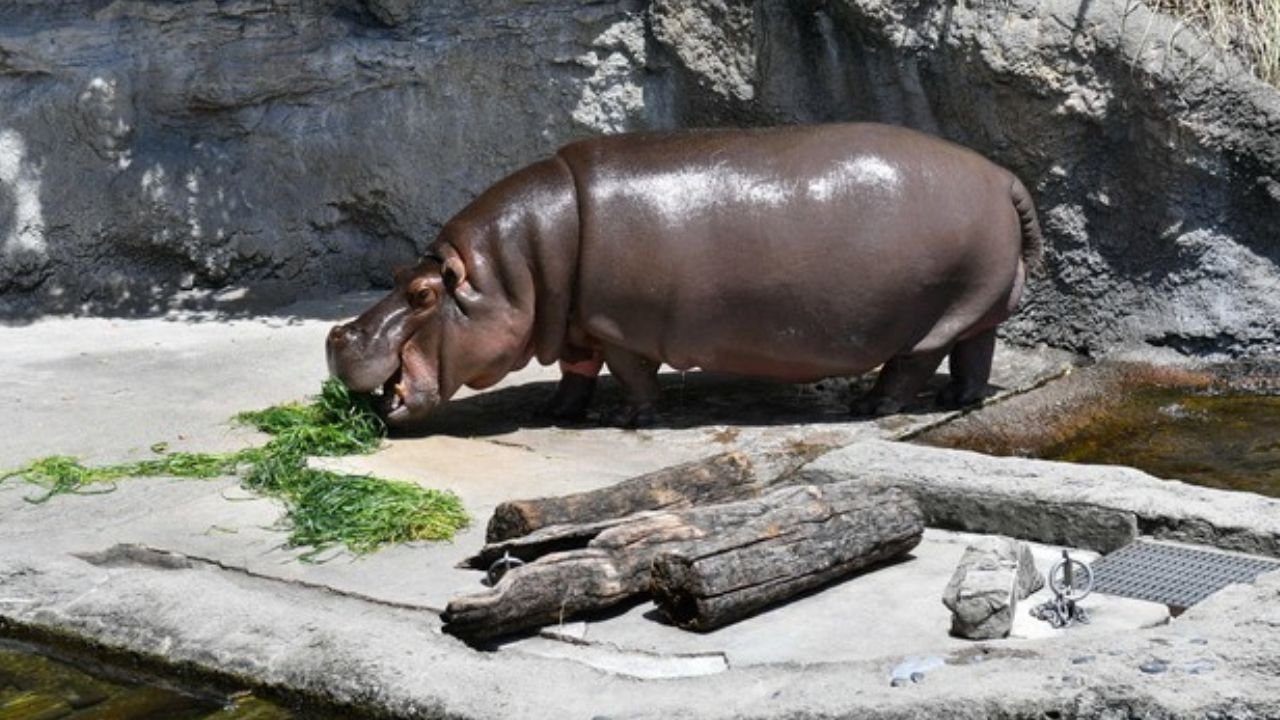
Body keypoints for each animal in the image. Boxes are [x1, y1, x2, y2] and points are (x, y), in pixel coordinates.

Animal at [326, 122, 1042, 427]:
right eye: (398, 272)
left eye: (422, 293)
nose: (337, 335)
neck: (520, 265)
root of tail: (1003, 177)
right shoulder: (579, 324)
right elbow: (575, 370)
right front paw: (555, 411)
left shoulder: (615, 325)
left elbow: (630, 372)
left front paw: (631, 419)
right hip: (977, 304)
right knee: (974, 352)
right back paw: (957, 402)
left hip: (939, 310)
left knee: (915, 362)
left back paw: (871, 405)